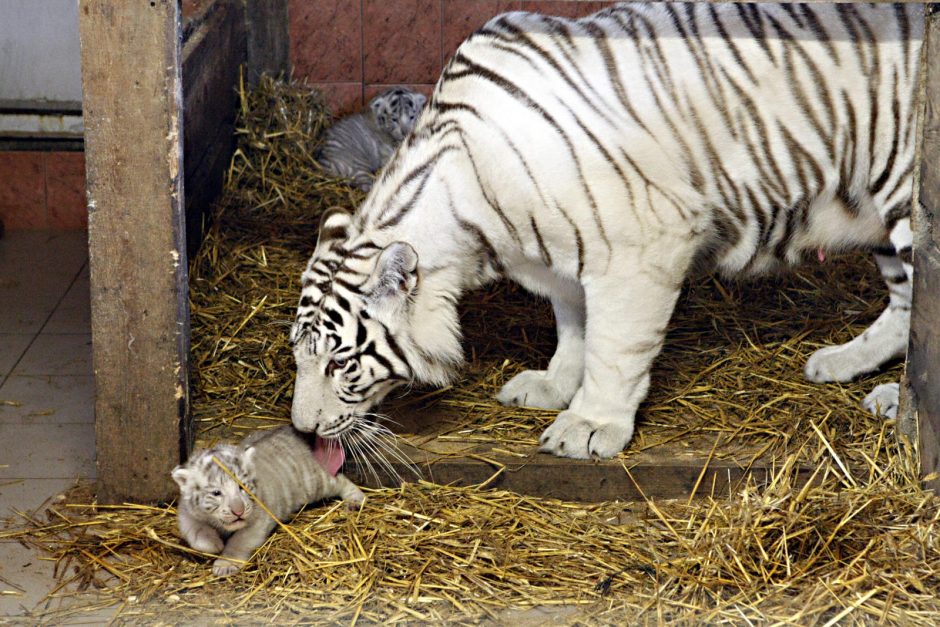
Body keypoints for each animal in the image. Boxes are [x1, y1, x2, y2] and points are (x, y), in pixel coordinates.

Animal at [290, 1, 920, 462]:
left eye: (340, 363)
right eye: (297, 356)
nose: (303, 429)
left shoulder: (642, 246)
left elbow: (614, 346)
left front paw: (589, 426)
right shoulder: (560, 255)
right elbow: (575, 328)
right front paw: (553, 385)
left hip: (906, 195)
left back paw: (896, 401)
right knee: (905, 305)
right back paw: (842, 363)